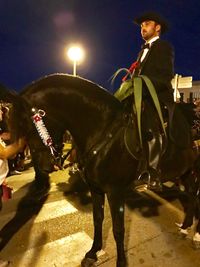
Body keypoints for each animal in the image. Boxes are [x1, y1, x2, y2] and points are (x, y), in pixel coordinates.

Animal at [3, 74, 200, 267]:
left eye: (29, 125)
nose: (44, 166)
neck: (102, 131)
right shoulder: (96, 188)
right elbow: (97, 220)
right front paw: (93, 252)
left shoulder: (115, 192)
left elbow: (118, 229)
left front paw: (121, 262)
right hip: (186, 171)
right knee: (191, 194)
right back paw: (186, 226)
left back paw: (195, 234)